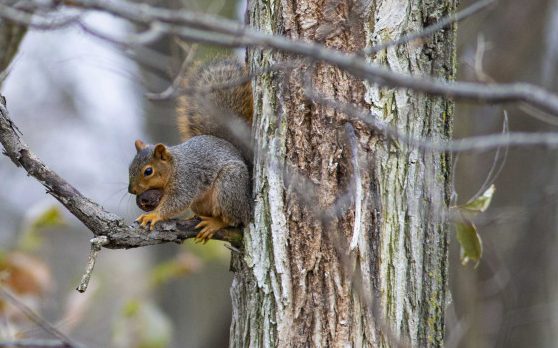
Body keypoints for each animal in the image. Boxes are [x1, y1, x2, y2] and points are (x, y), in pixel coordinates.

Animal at [128, 59, 253, 242]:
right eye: (129, 167)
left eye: (148, 171)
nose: (132, 190)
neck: (174, 166)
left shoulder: (186, 180)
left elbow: (177, 202)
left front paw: (153, 215)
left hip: (230, 185)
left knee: (233, 219)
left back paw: (214, 223)